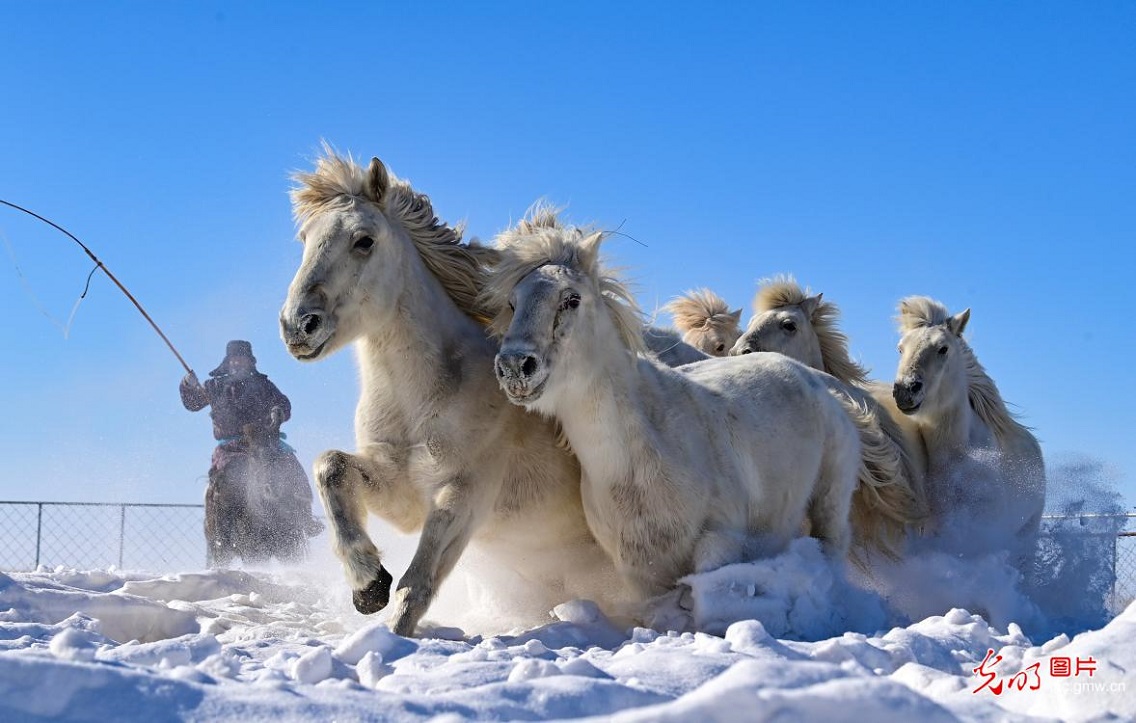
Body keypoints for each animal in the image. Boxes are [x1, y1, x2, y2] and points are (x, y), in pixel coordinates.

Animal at [278, 150, 626, 636]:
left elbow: (417, 584)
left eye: (364, 240)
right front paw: (368, 584)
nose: (297, 326)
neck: (425, 394)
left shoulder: (465, 494)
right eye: (305, 237)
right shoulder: (402, 495)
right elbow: (330, 468)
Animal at [485, 209, 875, 611]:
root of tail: (820, 382)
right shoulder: (642, 574)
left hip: (830, 504)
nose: (515, 367)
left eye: (571, 299)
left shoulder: (719, 544)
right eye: (512, 303)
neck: (637, 460)